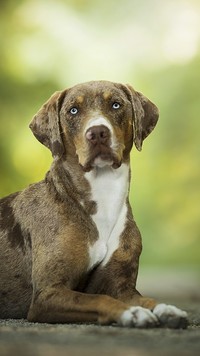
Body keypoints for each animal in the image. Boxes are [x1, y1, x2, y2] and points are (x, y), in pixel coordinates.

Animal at [0, 80, 188, 328]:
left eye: (116, 104)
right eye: (73, 110)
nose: (97, 132)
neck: (103, 195)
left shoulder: (122, 287)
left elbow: (146, 299)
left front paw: (167, 308)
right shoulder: (48, 293)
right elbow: (98, 299)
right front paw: (131, 313)